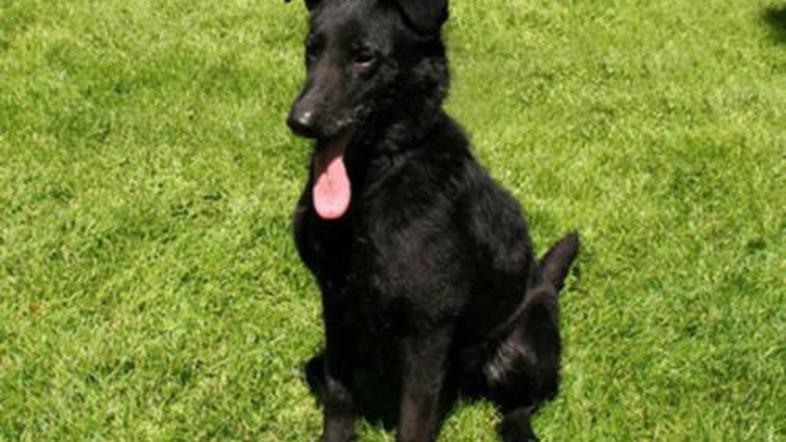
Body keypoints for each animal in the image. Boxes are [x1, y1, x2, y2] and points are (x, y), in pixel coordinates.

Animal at [284, 0, 579, 440]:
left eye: (364, 57)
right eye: (312, 50)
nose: (299, 121)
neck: (376, 177)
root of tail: (543, 280)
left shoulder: (428, 330)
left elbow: (414, 418)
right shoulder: (334, 305)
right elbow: (339, 394)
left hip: (523, 341)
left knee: (520, 405)